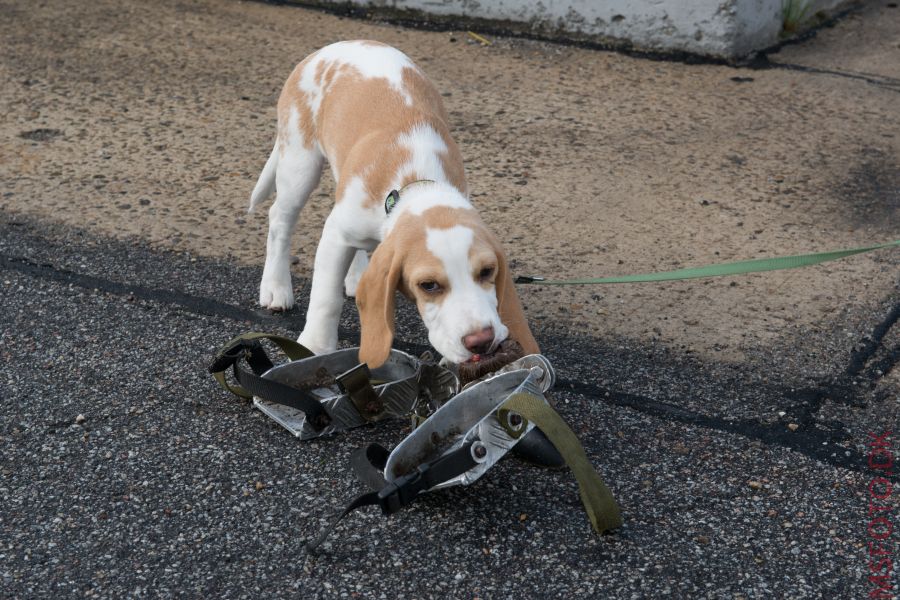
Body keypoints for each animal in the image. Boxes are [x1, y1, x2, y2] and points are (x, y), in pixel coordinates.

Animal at [250, 39, 536, 368]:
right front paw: (314, 347)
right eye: (429, 285)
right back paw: (275, 286)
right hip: (299, 164)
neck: (417, 183)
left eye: (487, 271)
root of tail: (332, 47)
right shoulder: (335, 235)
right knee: (280, 220)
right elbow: (326, 299)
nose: (481, 340)